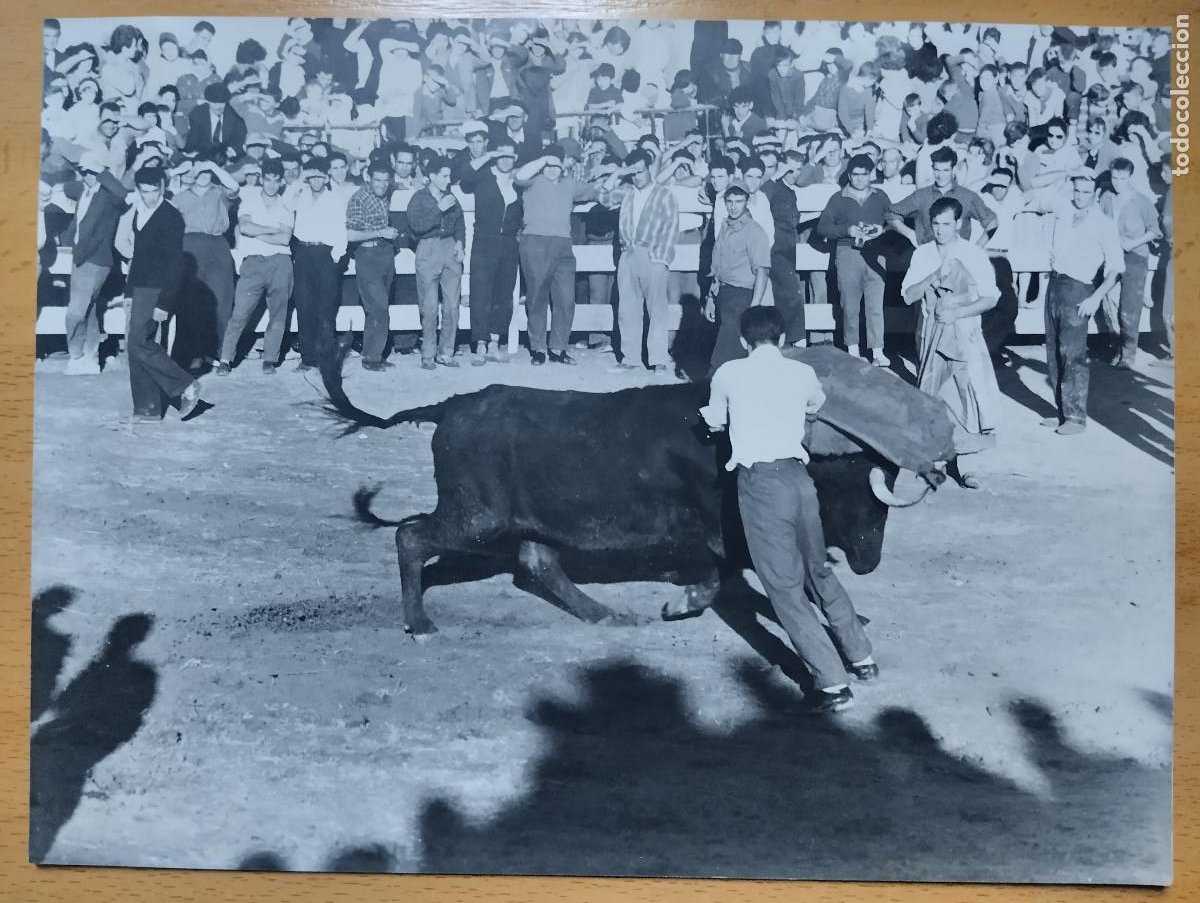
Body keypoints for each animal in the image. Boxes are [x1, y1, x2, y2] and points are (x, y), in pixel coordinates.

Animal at [319, 345, 955, 634]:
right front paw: (681, 602)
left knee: (537, 561)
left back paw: (604, 615)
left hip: (524, 517)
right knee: (411, 536)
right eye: (863, 501)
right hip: (478, 516)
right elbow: (727, 575)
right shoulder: (725, 534)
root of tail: (451, 407)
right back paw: (421, 623)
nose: (870, 561)